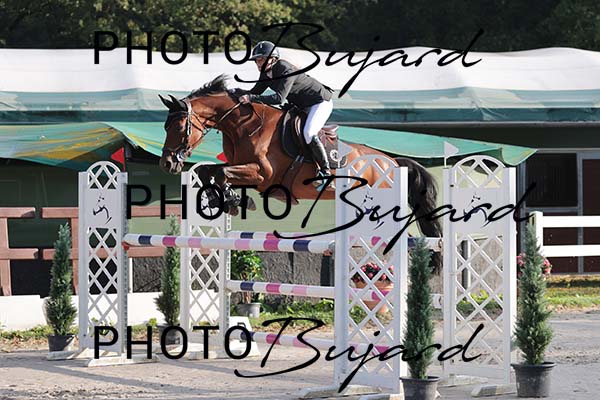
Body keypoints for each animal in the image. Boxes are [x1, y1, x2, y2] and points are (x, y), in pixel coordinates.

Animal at [158, 74, 442, 241]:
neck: (244, 125)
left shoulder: (261, 173)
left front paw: (234, 201)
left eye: (179, 127)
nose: (167, 163)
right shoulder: (241, 167)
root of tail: (393, 161)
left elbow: (219, 172)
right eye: (165, 126)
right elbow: (209, 171)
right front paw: (224, 200)